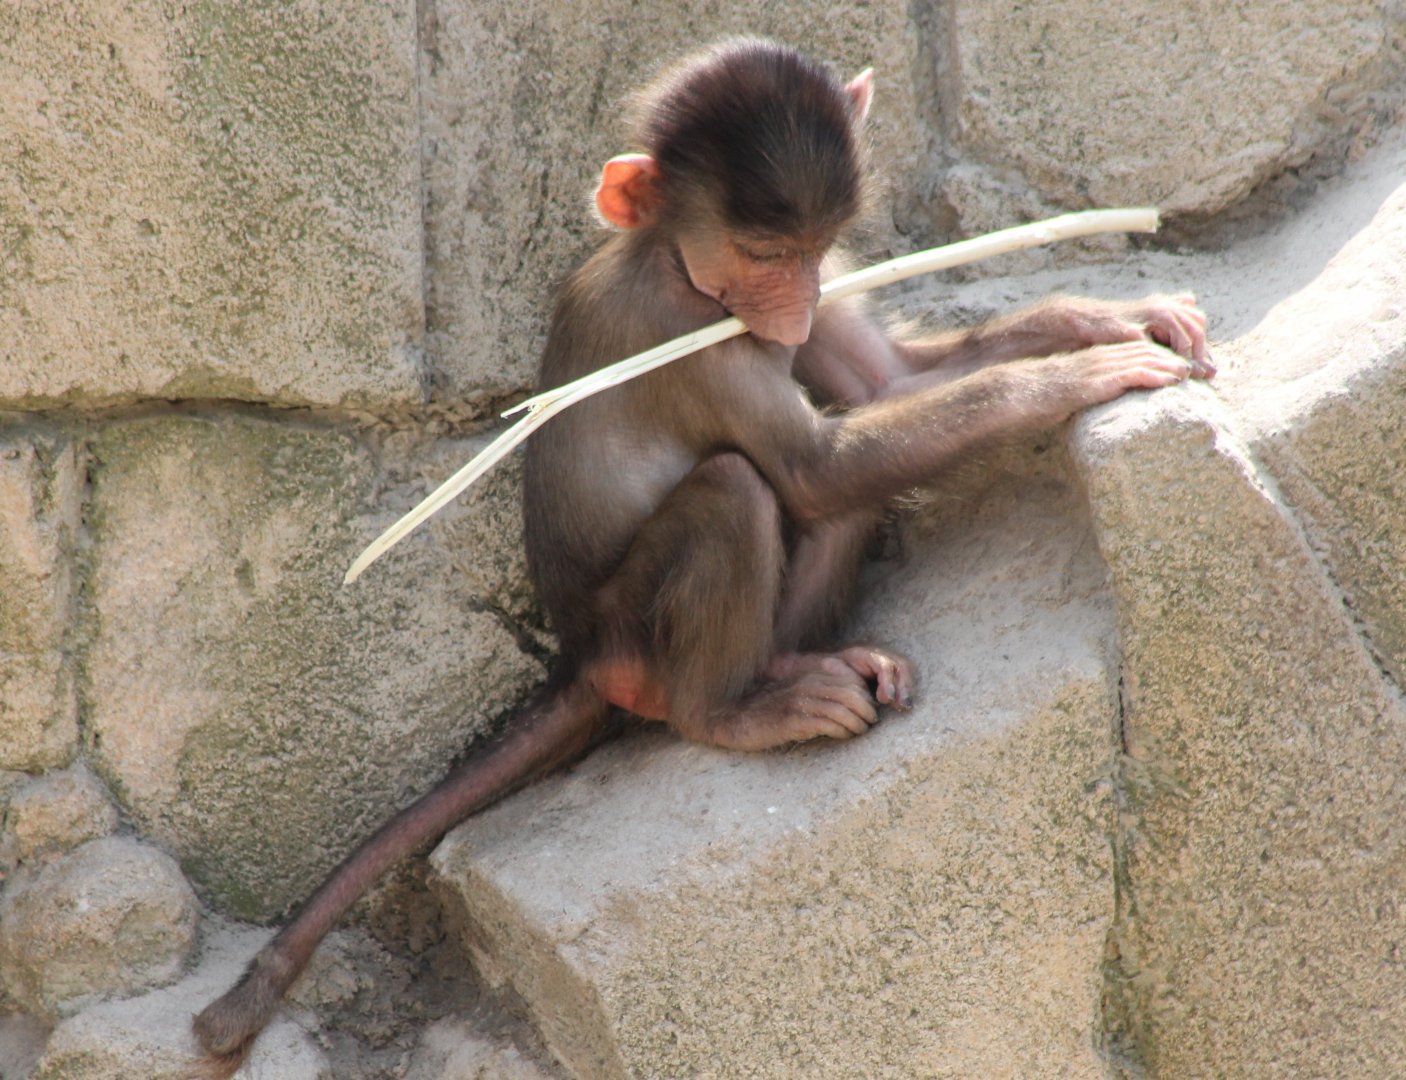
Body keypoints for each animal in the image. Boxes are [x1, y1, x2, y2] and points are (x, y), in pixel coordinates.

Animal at [193, 38, 1210, 1074]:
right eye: (763, 254)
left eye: (811, 252)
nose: (795, 306)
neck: (671, 261)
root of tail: (582, 657)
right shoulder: (692, 337)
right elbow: (815, 465)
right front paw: (1070, 376)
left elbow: (887, 389)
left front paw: (1099, 318)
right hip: (638, 640)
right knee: (741, 490)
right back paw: (730, 710)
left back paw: (792, 665)